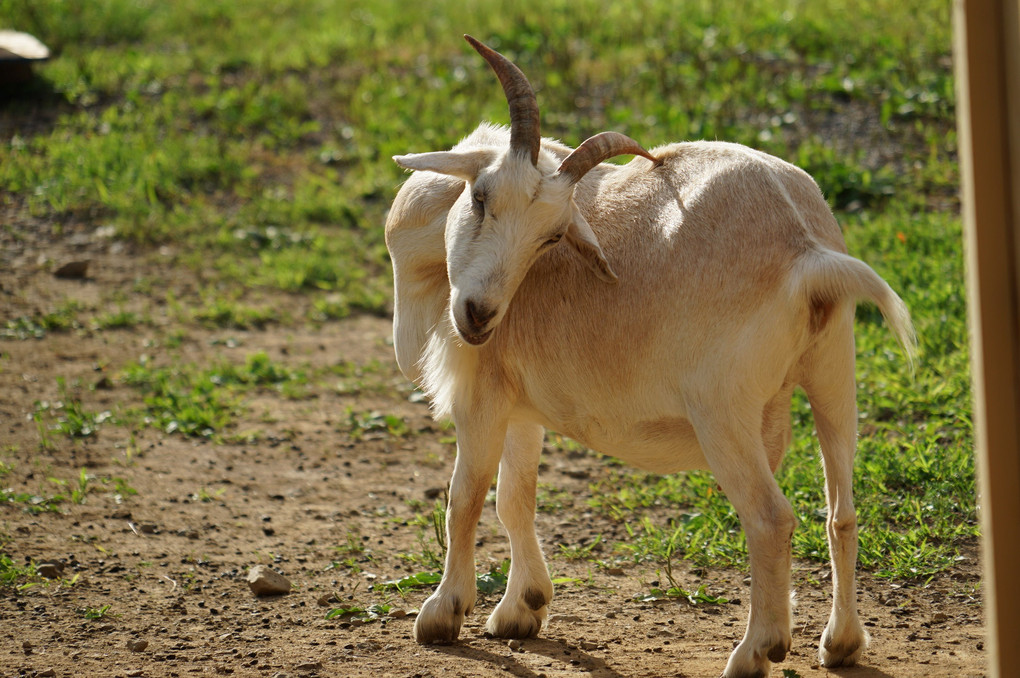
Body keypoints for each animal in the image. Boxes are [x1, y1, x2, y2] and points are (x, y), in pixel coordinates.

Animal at [383, 35, 918, 676]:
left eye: (549, 237)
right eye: (482, 198)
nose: (480, 316)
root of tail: (808, 251)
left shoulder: (480, 396)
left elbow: (464, 497)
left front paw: (442, 615)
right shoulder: (521, 405)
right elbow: (516, 498)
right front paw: (522, 608)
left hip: (723, 413)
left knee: (771, 519)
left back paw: (754, 652)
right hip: (835, 376)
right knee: (842, 511)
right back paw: (840, 644)